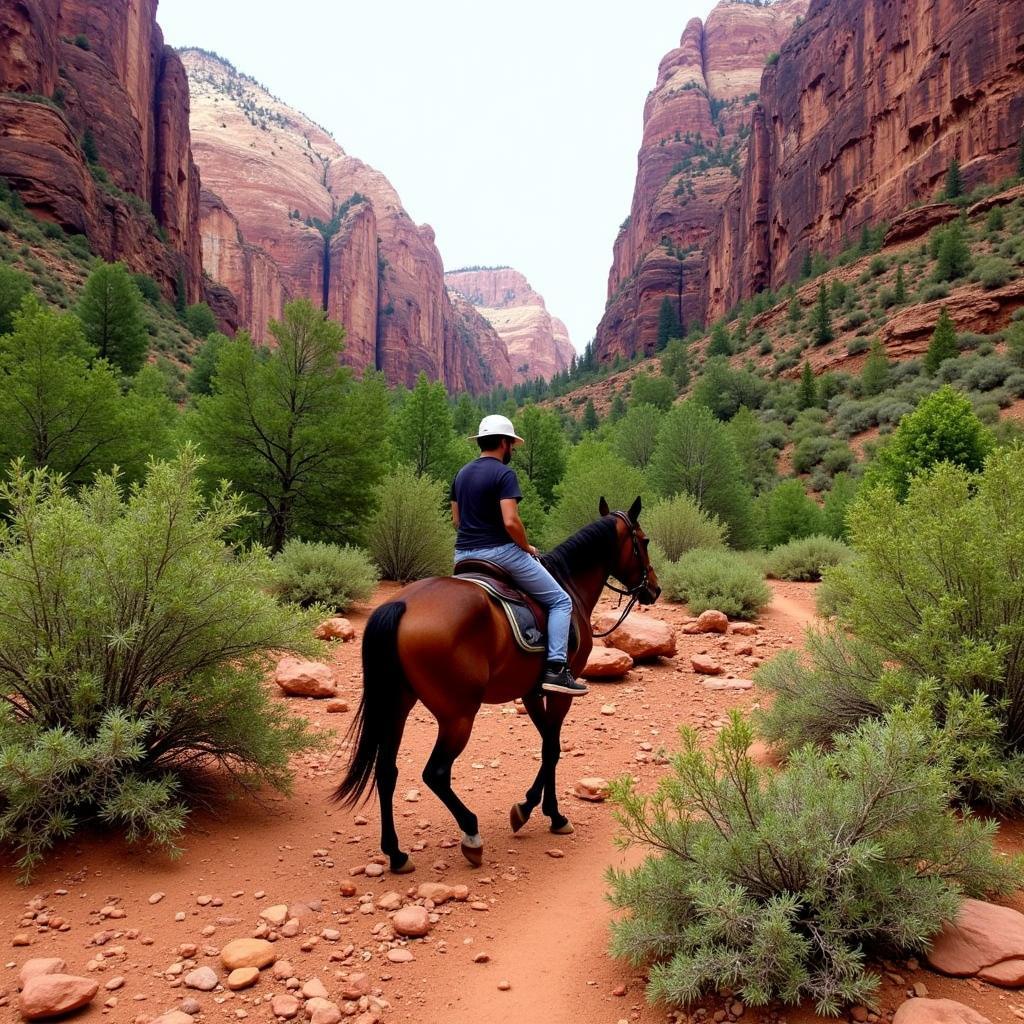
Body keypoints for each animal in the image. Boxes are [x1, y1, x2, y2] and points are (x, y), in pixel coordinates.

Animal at [331, 495, 659, 872]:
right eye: (644, 541)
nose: (654, 589)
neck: (569, 584)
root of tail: (402, 604)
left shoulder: (531, 691)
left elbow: (547, 744)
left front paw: (534, 810)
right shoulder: (560, 691)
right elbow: (553, 747)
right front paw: (547, 814)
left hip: (398, 705)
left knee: (387, 771)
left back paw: (397, 854)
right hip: (457, 715)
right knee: (436, 773)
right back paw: (471, 834)